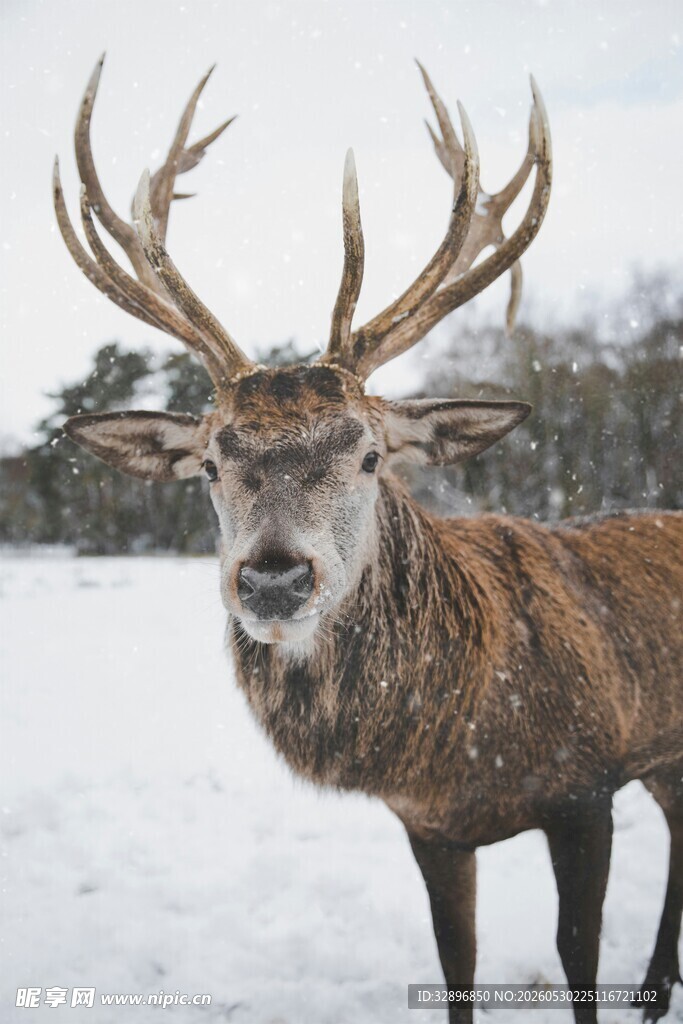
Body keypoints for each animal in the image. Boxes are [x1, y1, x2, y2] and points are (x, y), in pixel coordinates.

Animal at [54, 57, 682, 1024]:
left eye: (370, 453)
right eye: (210, 463)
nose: (274, 580)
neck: (464, 740)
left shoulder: (587, 785)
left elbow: (576, 958)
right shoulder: (428, 827)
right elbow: (455, 963)